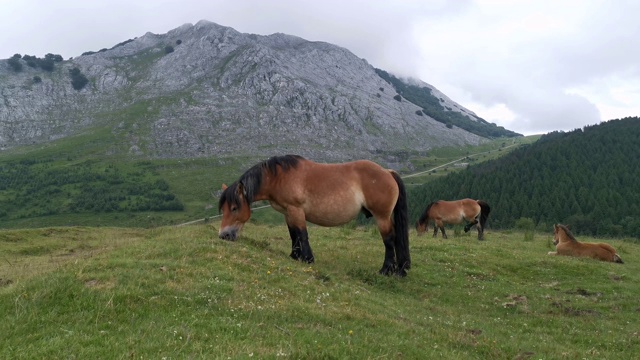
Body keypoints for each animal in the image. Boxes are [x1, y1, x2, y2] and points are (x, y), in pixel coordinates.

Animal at [219, 154, 410, 276]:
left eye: (234, 208)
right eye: (224, 209)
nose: (223, 235)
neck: (278, 177)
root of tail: (387, 172)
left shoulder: (296, 210)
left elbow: (302, 234)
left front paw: (307, 259)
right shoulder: (288, 212)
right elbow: (294, 235)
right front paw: (295, 256)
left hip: (382, 217)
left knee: (389, 240)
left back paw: (386, 271)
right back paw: (400, 270)